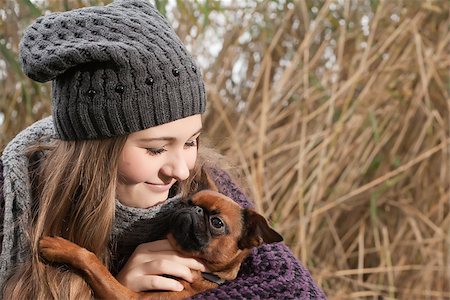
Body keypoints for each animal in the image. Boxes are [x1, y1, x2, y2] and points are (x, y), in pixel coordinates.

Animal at [38, 191, 282, 298]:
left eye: (217, 222)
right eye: (186, 202)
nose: (194, 209)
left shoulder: (127, 297)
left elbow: (93, 262)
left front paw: (61, 247)